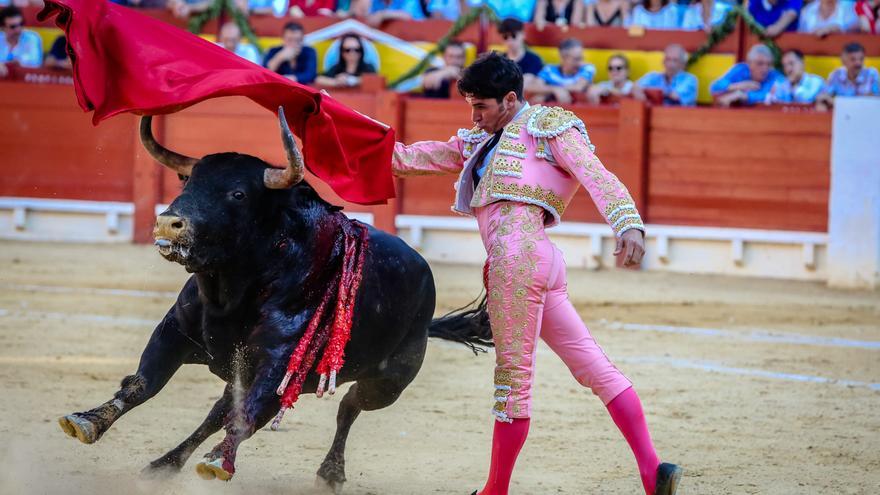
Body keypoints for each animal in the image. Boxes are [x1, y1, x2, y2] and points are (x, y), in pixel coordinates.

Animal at [58, 109, 492, 492]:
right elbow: (141, 385)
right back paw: (165, 465)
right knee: (219, 412)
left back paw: (329, 473)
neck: (230, 293)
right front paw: (87, 421)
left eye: (237, 194)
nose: (168, 223)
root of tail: (423, 272)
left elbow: (245, 419)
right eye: (186, 185)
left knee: (348, 408)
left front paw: (219, 462)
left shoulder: (280, 365)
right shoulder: (174, 331)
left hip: (389, 382)